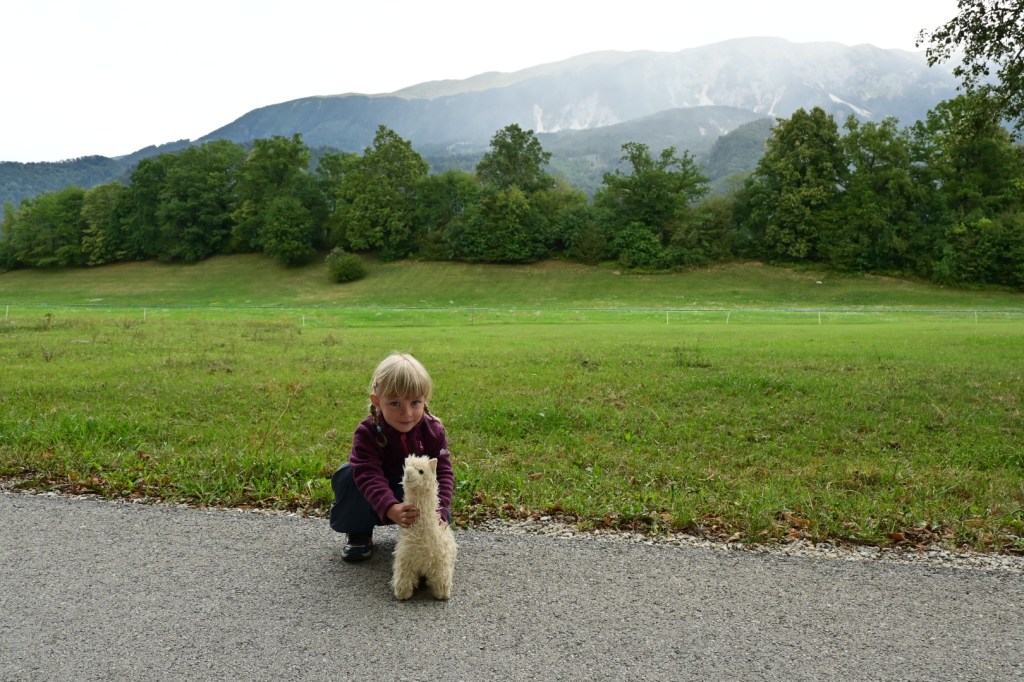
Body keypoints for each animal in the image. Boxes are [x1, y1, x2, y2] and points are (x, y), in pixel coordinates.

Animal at [391, 455, 458, 600]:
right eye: (406, 468)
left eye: (421, 471)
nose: (408, 474)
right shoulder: (405, 561)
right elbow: (403, 579)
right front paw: (402, 594)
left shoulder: (440, 563)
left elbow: (441, 580)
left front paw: (442, 594)